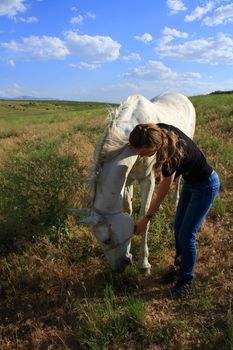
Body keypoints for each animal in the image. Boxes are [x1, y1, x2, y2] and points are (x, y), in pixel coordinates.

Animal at [70, 92, 196, 274]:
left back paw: (175, 203)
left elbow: (144, 216)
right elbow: (127, 209)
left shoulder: (147, 180)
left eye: (107, 240)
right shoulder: (127, 179)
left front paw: (144, 263)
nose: (119, 267)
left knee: (177, 179)